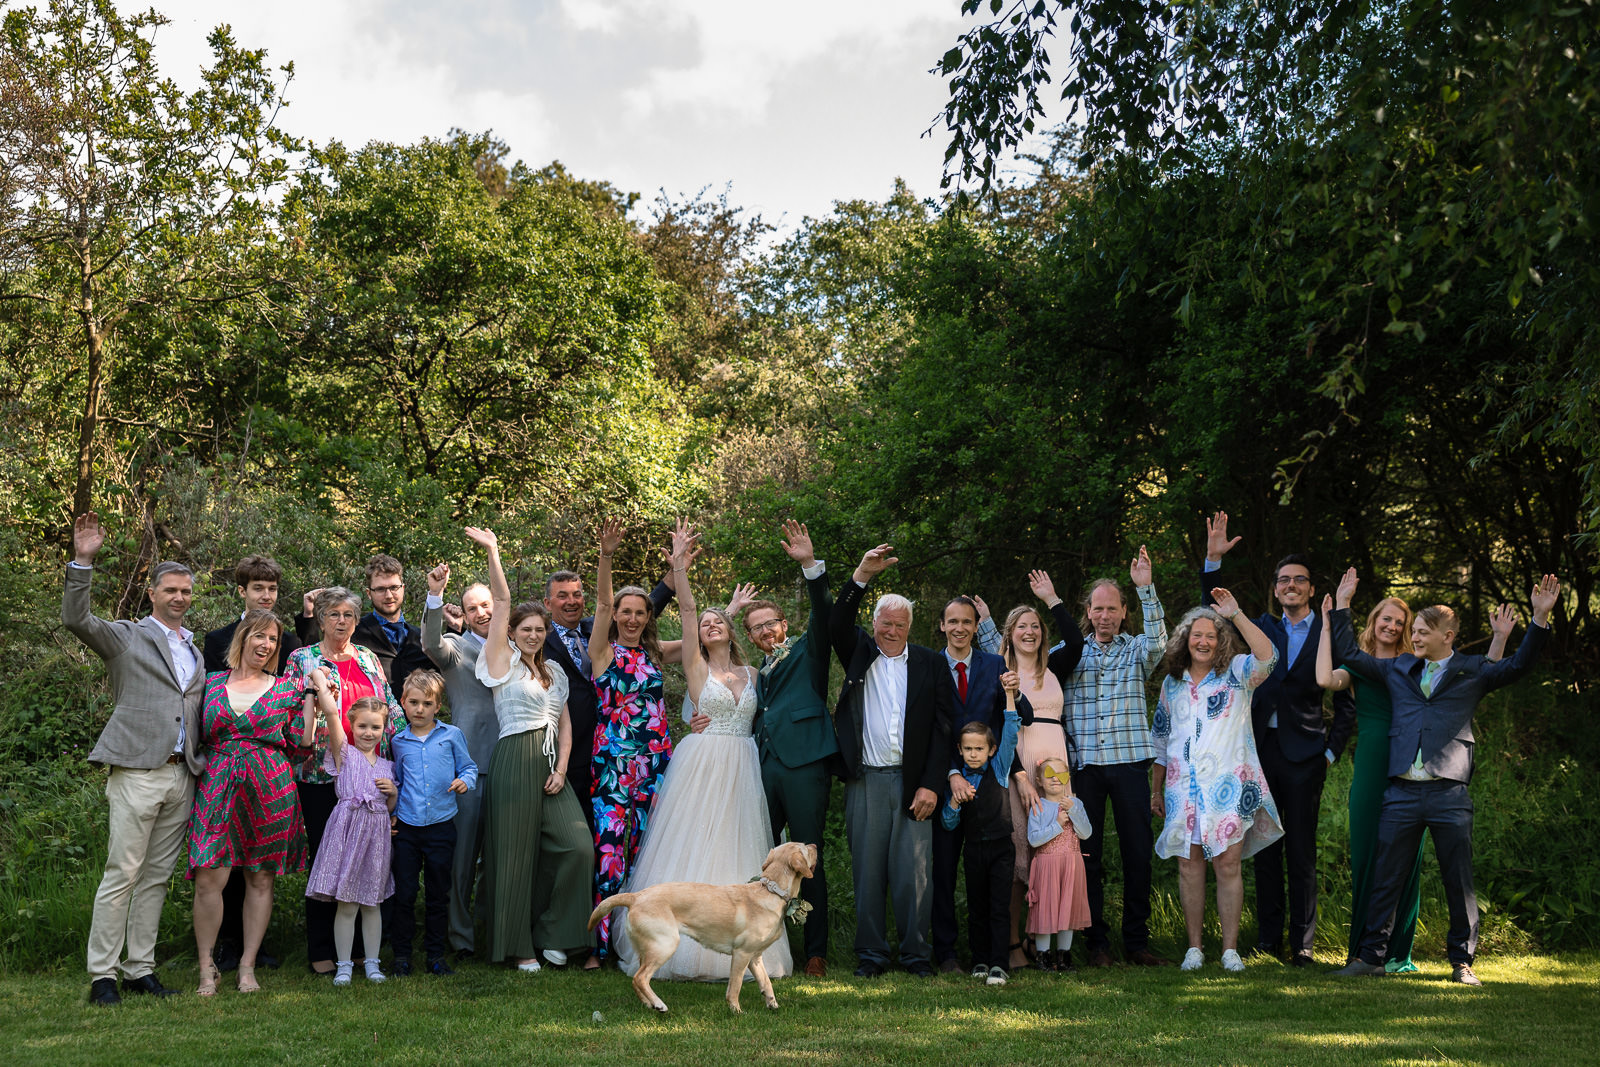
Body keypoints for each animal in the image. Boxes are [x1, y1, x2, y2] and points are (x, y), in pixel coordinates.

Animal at [588, 844, 819, 1011]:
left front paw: (772, 1005)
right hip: (665, 945)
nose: (816, 844)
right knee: (640, 978)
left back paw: (649, 1004)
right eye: (806, 848)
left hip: (646, 949)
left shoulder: (755, 957)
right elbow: (735, 986)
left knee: (636, 980)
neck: (771, 890)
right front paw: (736, 1011)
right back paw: (659, 1004)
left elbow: (766, 983)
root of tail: (635, 896)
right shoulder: (741, 954)